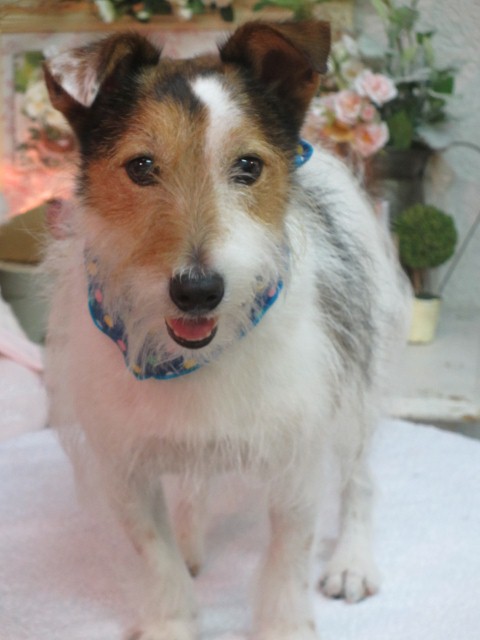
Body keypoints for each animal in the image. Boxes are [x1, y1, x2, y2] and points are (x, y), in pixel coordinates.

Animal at [43, 20, 410, 640]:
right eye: (141, 167)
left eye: (249, 167)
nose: (198, 291)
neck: (190, 360)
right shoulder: (124, 468)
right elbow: (154, 551)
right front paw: (170, 619)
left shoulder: (298, 457)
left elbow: (289, 554)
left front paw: (285, 625)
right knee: (195, 486)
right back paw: (193, 538)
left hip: (359, 385)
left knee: (359, 481)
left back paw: (352, 561)